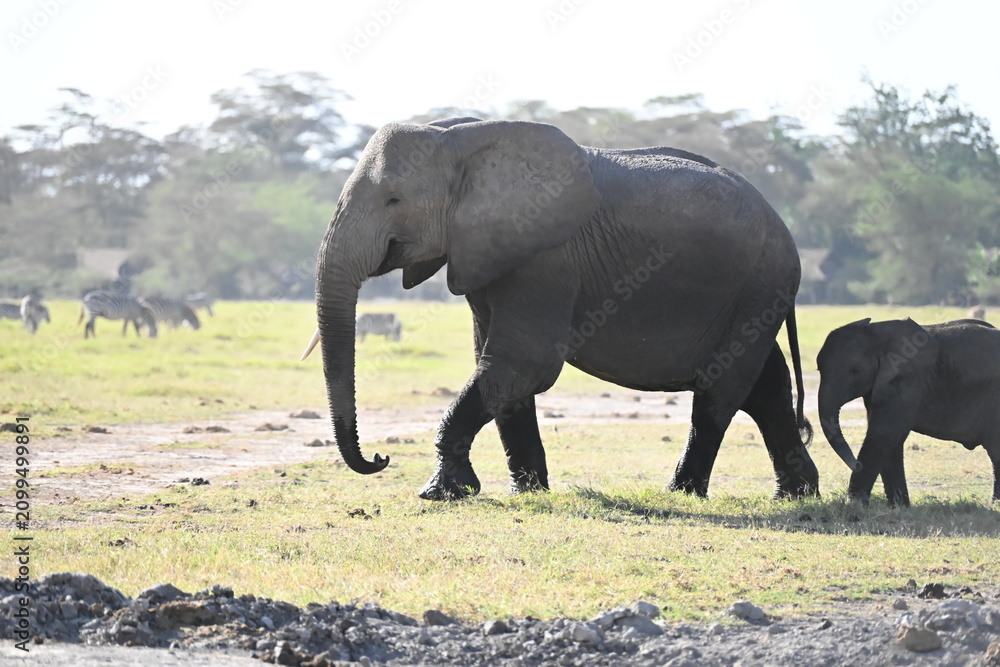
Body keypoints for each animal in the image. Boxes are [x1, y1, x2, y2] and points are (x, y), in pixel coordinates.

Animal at [305, 116, 818, 500]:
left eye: (393, 200)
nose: (379, 459)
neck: (460, 140)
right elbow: (501, 370)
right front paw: (527, 493)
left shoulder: (545, 259)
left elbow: (522, 363)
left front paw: (440, 493)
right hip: (753, 297)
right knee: (767, 386)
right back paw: (796, 494)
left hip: (758, 286)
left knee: (720, 392)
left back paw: (683, 493)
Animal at [817, 317, 1000, 506]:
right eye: (818, 369)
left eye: (855, 371)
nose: (856, 464)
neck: (877, 334)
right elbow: (891, 442)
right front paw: (899, 507)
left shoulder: (906, 382)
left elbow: (883, 435)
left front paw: (855, 505)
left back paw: (995, 505)